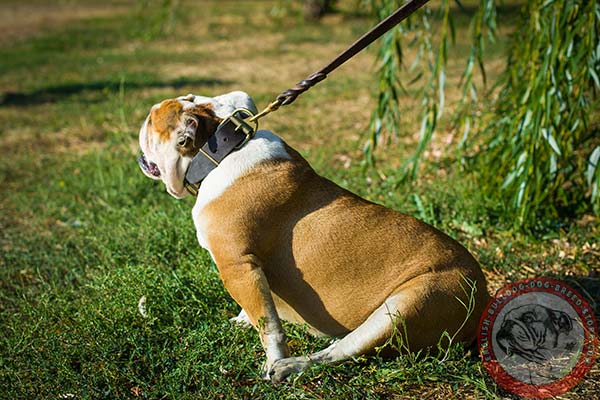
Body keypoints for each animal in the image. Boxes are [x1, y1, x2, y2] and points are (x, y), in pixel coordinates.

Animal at [138, 90, 490, 382]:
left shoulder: (236, 265)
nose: (143, 120)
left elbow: (269, 326)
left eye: (152, 121)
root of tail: (483, 298)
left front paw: (272, 358)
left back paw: (290, 366)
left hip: (408, 304)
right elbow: (258, 309)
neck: (222, 151)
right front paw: (239, 320)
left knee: (343, 352)